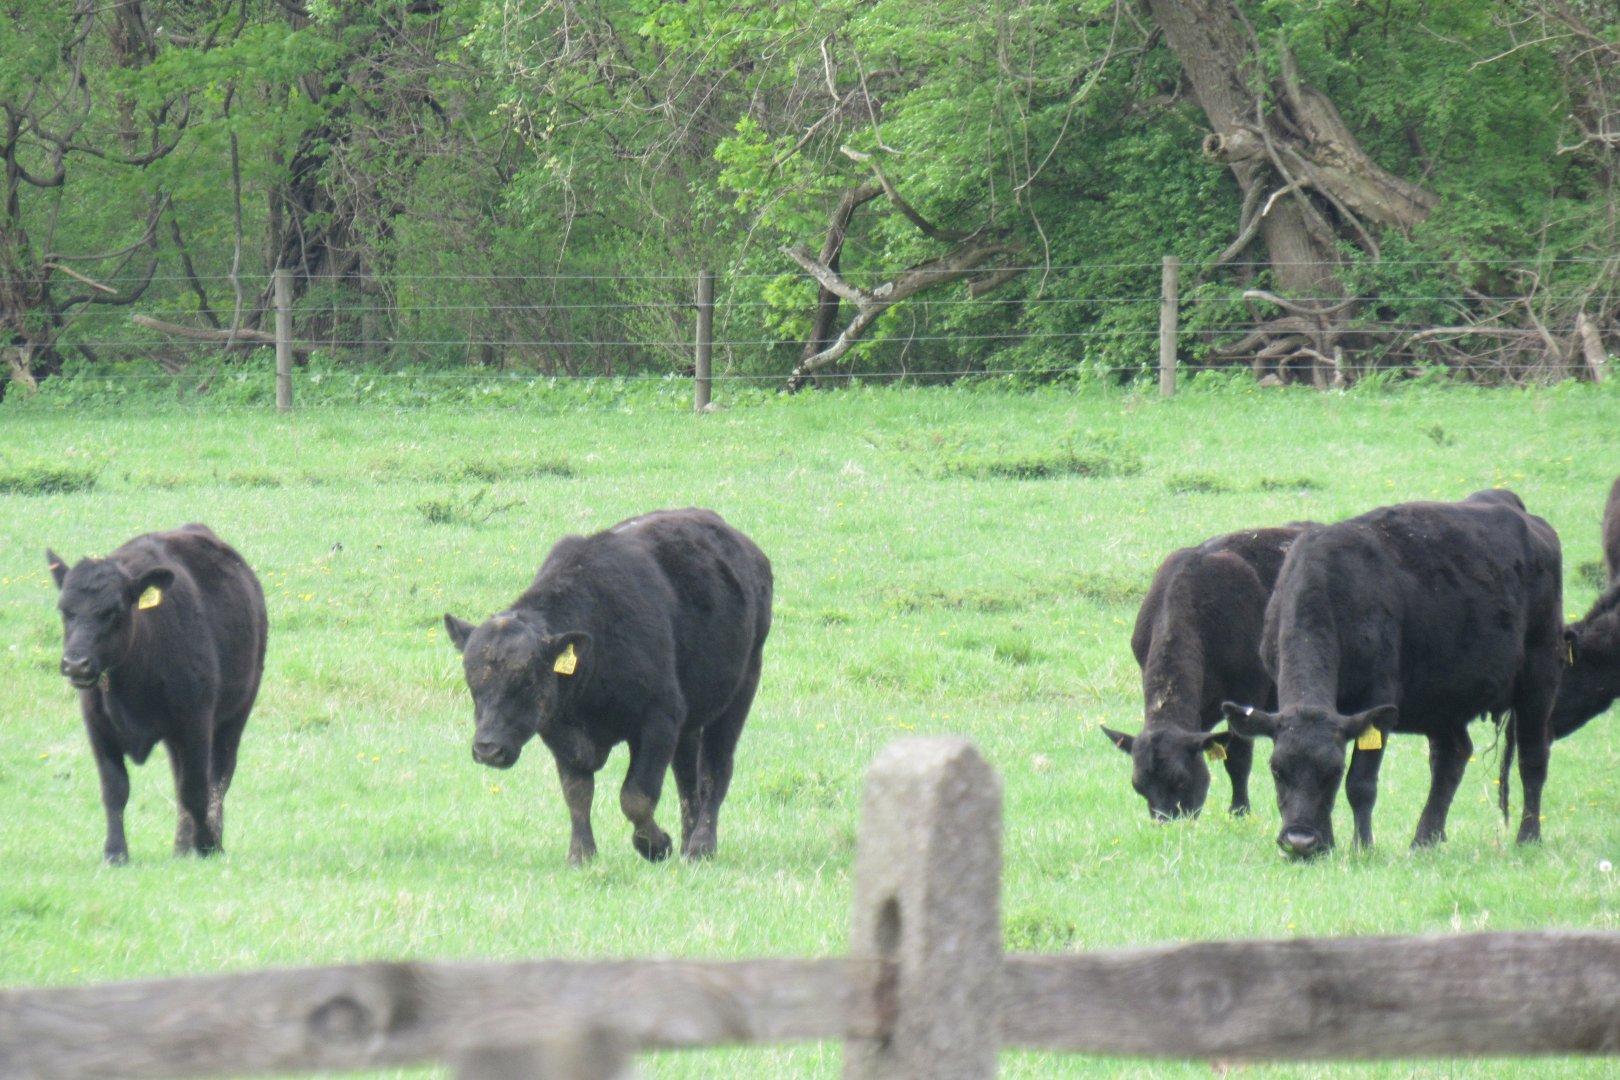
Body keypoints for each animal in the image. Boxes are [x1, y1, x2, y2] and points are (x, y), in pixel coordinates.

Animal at [48, 524, 267, 864]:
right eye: (64, 610)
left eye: (114, 611)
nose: (76, 664)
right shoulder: (98, 728)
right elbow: (115, 789)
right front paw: (115, 852)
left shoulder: (195, 723)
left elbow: (196, 789)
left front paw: (207, 845)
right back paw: (181, 846)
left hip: (235, 713)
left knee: (218, 776)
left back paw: (209, 839)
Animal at [444, 508, 772, 865]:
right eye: (472, 681)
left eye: (527, 680)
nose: (487, 749)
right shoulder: (560, 732)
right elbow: (577, 793)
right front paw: (581, 854)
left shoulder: (658, 719)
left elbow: (636, 796)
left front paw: (656, 845)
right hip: (690, 722)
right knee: (687, 777)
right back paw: (688, 843)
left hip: (739, 694)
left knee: (715, 771)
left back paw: (701, 846)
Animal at [1102, 525, 1310, 820]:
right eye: (1138, 785)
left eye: (1181, 779)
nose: (1167, 821)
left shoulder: (1247, 692)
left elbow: (1238, 757)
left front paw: (1239, 810)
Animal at [1221, 491, 1566, 858]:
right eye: (1276, 769)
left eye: (1334, 770)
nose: (1300, 840)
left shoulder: (1379, 699)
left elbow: (1360, 783)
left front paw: (1362, 846)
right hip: (1443, 698)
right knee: (1451, 756)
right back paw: (1424, 840)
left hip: (1540, 676)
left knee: (1533, 757)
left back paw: (1528, 836)